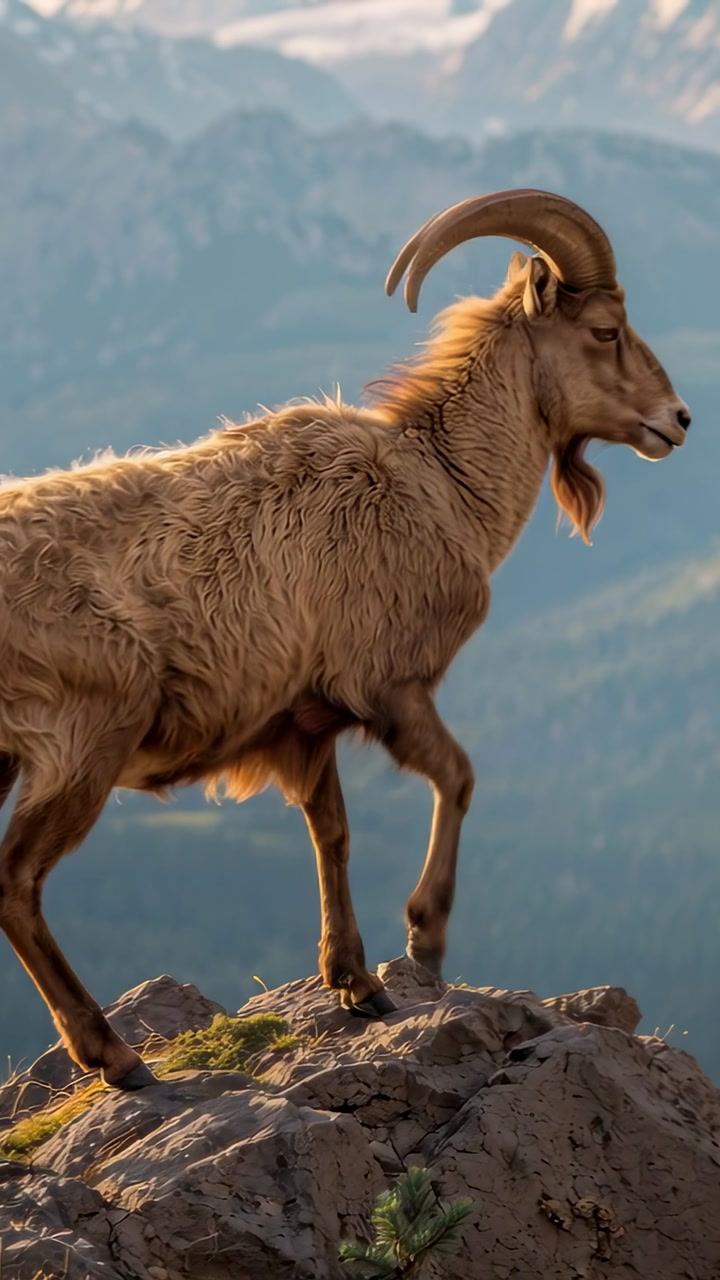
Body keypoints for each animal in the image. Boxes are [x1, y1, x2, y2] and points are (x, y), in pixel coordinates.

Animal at [0, 189, 689, 1089]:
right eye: (606, 330)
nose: (677, 419)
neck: (442, 485)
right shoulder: (387, 686)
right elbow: (457, 778)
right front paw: (423, 941)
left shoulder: (305, 722)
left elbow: (331, 830)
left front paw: (356, 981)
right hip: (83, 740)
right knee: (17, 881)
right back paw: (116, 1055)